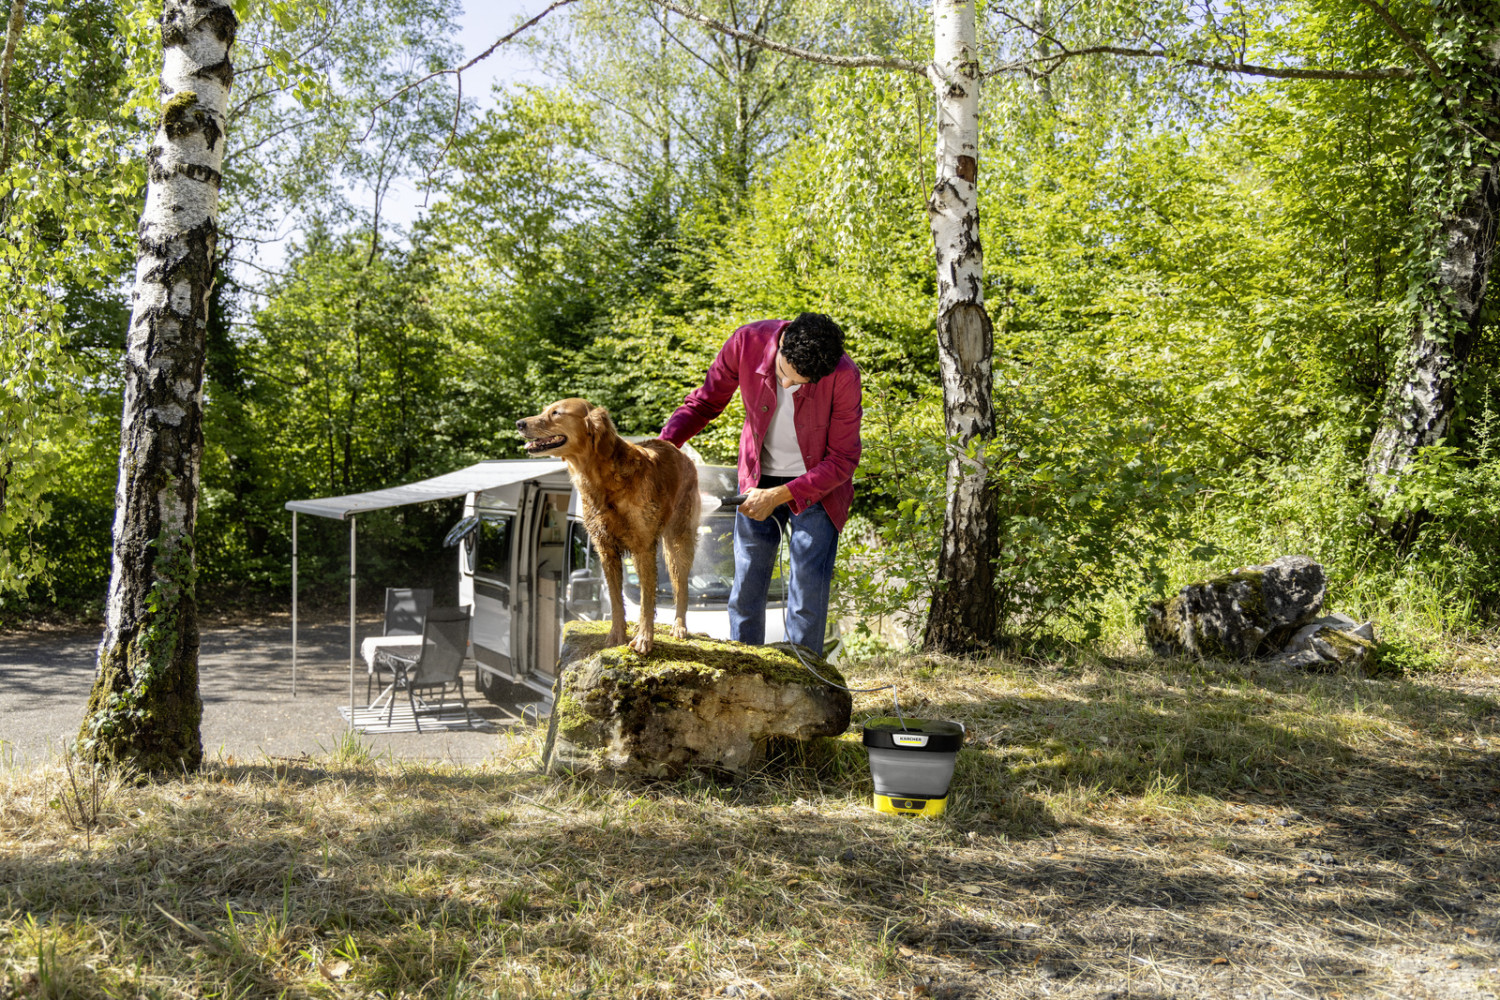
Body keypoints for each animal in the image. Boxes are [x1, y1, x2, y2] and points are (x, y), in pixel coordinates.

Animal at [516, 398, 699, 655]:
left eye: (556, 413)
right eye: (544, 411)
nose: (519, 423)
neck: (600, 478)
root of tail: (681, 455)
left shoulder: (643, 547)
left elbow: (646, 600)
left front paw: (644, 638)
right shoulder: (605, 549)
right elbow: (615, 599)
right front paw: (617, 635)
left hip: (678, 540)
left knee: (681, 586)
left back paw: (679, 627)